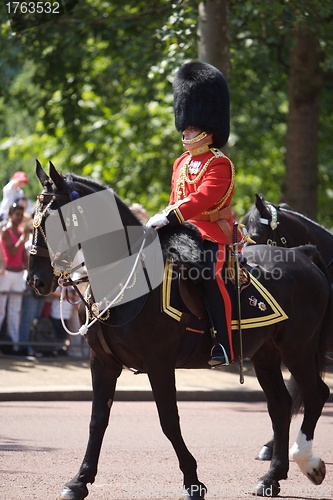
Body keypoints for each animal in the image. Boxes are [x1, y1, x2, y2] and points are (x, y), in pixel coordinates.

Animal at [27, 162, 330, 498]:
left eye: (54, 219)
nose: (36, 280)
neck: (124, 276)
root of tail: (303, 254)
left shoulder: (159, 363)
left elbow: (169, 421)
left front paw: (193, 480)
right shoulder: (103, 362)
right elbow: (97, 420)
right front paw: (79, 480)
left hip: (297, 347)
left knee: (316, 393)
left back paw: (308, 462)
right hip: (266, 353)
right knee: (280, 405)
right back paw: (271, 477)